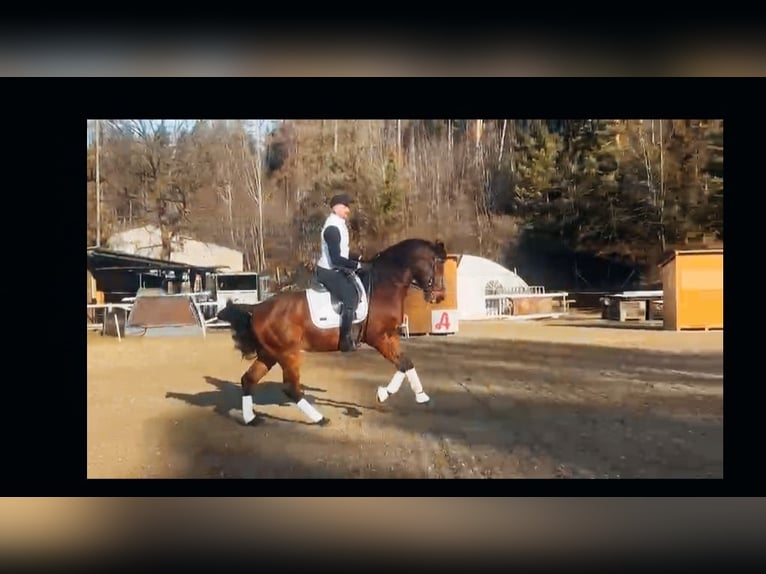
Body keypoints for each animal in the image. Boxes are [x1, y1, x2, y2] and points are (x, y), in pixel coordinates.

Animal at [216, 238, 450, 428]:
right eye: (437, 264)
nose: (439, 297)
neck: (384, 285)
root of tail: (257, 309)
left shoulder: (390, 335)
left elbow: (405, 363)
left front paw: (411, 396)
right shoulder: (377, 337)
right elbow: (402, 363)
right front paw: (393, 395)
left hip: (270, 354)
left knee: (248, 380)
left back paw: (251, 419)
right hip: (288, 354)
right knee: (291, 388)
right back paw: (320, 419)